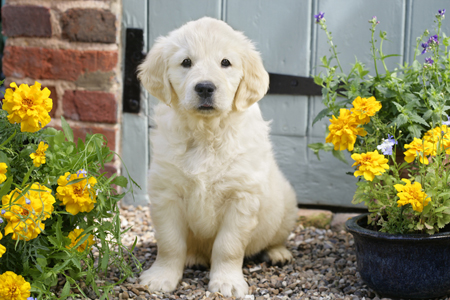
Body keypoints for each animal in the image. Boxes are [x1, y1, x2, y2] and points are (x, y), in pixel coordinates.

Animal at [137, 17, 298, 298]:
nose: (205, 87)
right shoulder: (166, 193)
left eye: (225, 62)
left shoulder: (241, 196)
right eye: (186, 62)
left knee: (275, 237)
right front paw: (161, 277)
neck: (206, 133)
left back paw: (278, 253)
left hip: (286, 206)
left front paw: (227, 283)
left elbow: (228, 246)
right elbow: (170, 243)